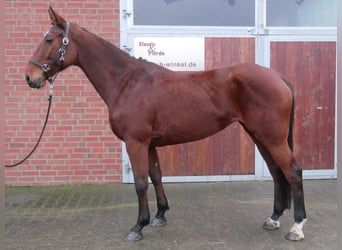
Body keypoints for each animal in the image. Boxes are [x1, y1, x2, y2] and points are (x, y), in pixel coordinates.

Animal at [24, 6, 308, 242]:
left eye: (49, 39)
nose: (30, 77)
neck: (127, 82)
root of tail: (279, 77)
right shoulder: (149, 144)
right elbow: (156, 175)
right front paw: (160, 216)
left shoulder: (136, 142)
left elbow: (140, 182)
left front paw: (138, 226)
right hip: (259, 135)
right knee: (276, 172)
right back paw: (273, 218)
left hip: (271, 137)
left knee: (293, 172)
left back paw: (296, 227)